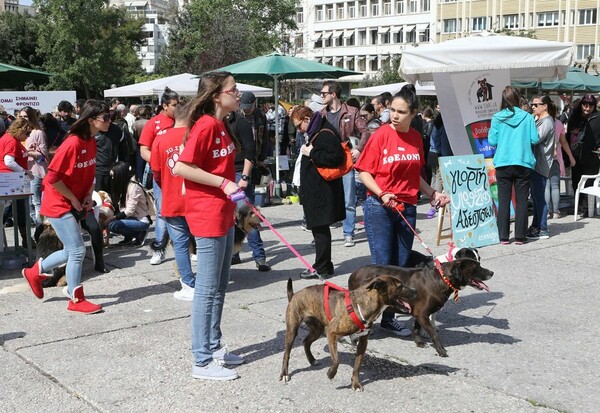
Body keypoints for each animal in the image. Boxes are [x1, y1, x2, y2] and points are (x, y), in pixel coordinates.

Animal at [282, 276, 418, 392]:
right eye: (400, 286)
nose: (415, 291)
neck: (361, 306)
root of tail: (294, 295)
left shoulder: (363, 342)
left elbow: (357, 366)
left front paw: (355, 383)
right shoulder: (331, 332)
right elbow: (336, 359)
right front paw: (331, 373)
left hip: (317, 330)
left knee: (306, 341)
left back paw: (312, 360)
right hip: (292, 330)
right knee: (286, 353)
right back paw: (284, 374)